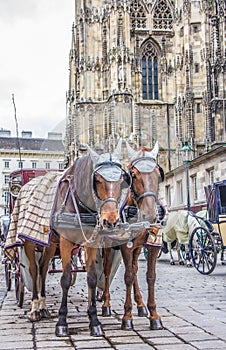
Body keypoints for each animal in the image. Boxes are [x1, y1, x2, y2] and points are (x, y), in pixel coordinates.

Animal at [100, 142, 163, 330]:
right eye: (133, 175)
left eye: (159, 174)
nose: (150, 214)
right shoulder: (124, 245)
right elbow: (127, 277)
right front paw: (127, 317)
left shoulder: (152, 245)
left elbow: (150, 276)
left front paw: (153, 315)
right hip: (108, 246)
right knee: (107, 270)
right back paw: (106, 304)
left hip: (137, 247)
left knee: (134, 268)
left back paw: (141, 306)